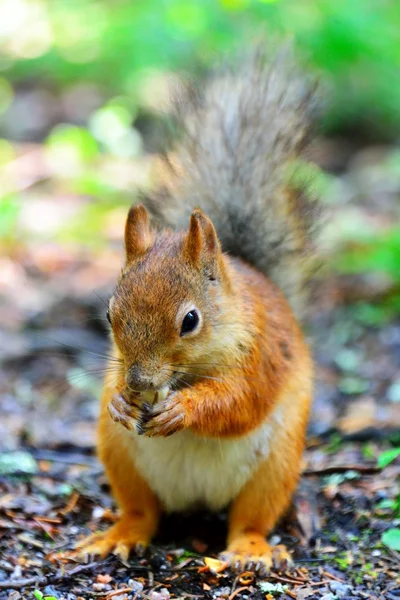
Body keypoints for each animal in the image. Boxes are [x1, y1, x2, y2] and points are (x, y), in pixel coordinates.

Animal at [79, 45, 318, 572]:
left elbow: (240, 401)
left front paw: (183, 409)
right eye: (109, 316)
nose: (138, 383)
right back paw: (118, 535)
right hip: (119, 455)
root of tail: (196, 503)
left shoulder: (261, 352)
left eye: (190, 321)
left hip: (276, 466)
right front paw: (121, 400)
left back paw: (250, 550)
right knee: (142, 512)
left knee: (250, 518)